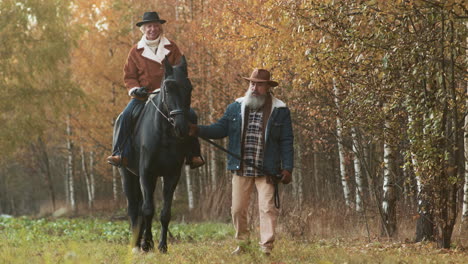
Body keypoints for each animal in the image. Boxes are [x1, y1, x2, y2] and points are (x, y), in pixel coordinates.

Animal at [113, 56, 192, 254]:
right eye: (168, 88)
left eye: (189, 88)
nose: (181, 127)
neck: (164, 134)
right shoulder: (146, 173)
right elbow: (148, 210)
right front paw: (146, 244)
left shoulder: (171, 175)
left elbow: (165, 213)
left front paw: (162, 245)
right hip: (128, 175)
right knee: (134, 209)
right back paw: (136, 244)